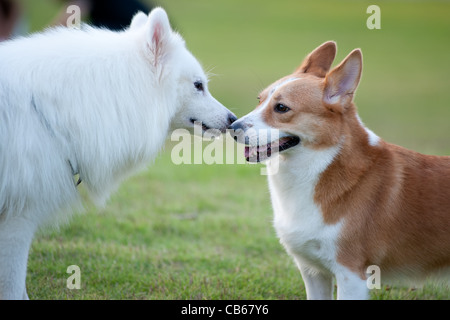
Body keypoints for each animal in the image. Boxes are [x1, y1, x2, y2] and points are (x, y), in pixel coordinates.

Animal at [230, 41, 448, 298]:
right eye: (259, 99)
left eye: (281, 108)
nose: (231, 126)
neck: (320, 166)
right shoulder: (313, 271)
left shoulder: (351, 274)